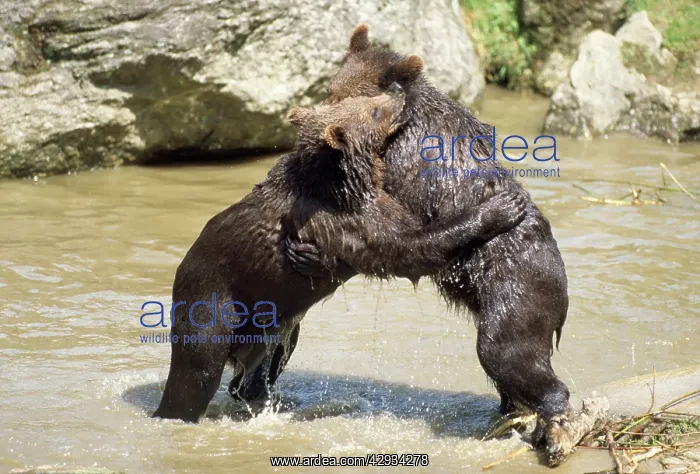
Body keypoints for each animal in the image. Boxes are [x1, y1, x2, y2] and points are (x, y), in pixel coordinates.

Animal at [152, 90, 529, 423]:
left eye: (365, 100)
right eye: (373, 110)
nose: (400, 94)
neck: (344, 183)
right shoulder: (342, 219)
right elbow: (404, 249)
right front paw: (503, 206)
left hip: (272, 326)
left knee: (259, 369)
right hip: (213, 296)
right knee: (196, 370)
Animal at [284, 25, 572, 464]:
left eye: (349, 99)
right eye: (332, 90)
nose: (316, 121)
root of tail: (564, 293)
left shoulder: (401, 169)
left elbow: (385, 234)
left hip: (518, 288)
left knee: (506, 351)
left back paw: (554, 431)